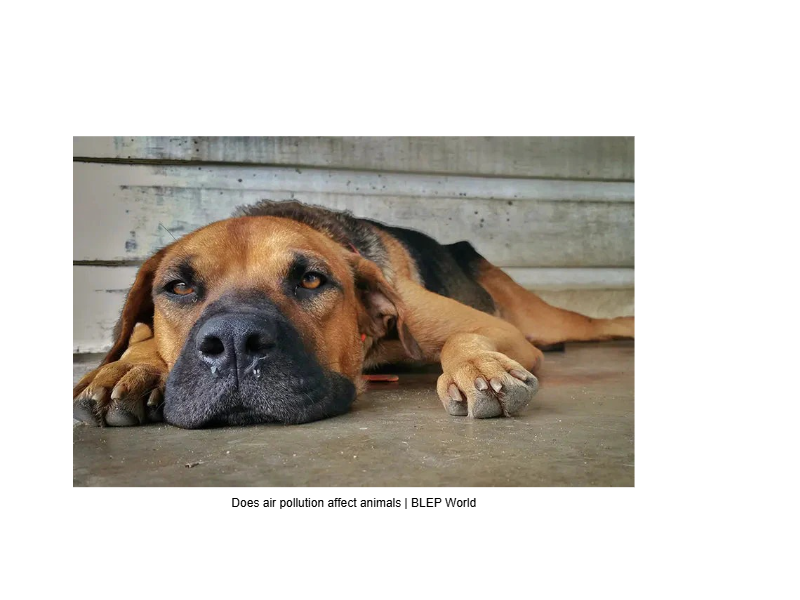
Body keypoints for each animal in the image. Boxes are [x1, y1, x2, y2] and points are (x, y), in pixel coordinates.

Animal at [73, 200, 634, 428]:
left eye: (311, 280)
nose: (234, 344)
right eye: (181, 287)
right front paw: (128, 368)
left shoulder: (500, 330)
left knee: (599, 324)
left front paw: (480, 368)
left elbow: (464, 340)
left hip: (540, 320)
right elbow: (140, 340)